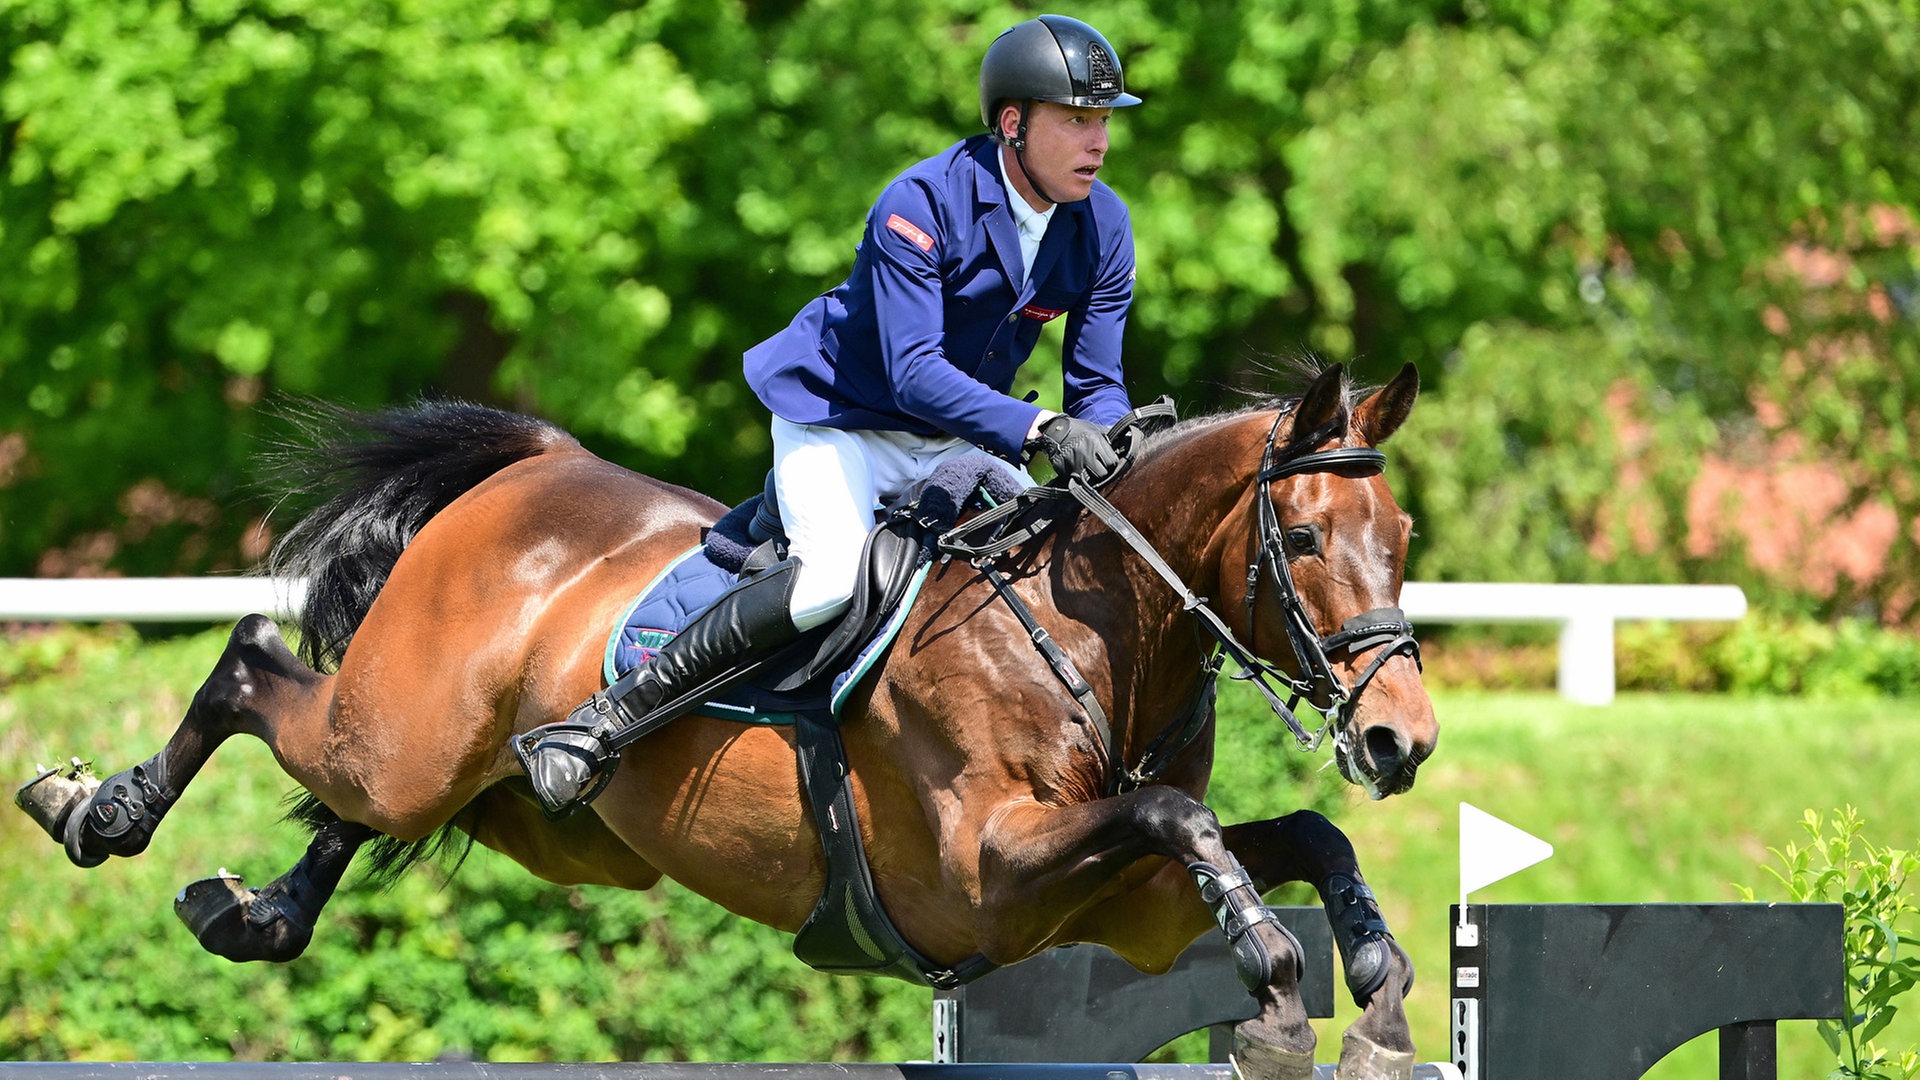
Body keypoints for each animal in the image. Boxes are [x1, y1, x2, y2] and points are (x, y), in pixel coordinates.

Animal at [11, 363, 1428, 1076]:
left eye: (1404, 536)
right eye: (1306, 538)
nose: (1399, 740)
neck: (1089, 633)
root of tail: (533, 465)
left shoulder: (1113, 908)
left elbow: (1287, 833)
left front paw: (1370, 988)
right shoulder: (986, 872)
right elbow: (1184, 813)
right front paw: (1279, 993)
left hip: (540, 816)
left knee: (354, 808)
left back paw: (254, 914)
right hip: (408, 739)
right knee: (257, 670)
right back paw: (95, 811)